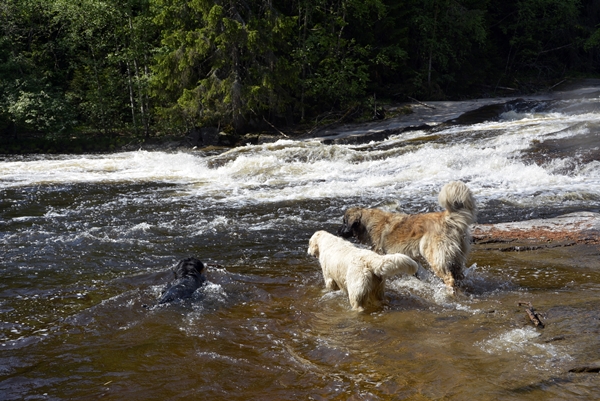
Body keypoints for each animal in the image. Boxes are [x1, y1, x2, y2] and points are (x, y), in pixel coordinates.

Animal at [340, 181, 476, 290]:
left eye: (344, 222)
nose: (338, 232)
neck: (368, 224)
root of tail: (447, 218)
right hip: (456, 259)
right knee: (458, 276)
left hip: (433, 256)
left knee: (449, 278)